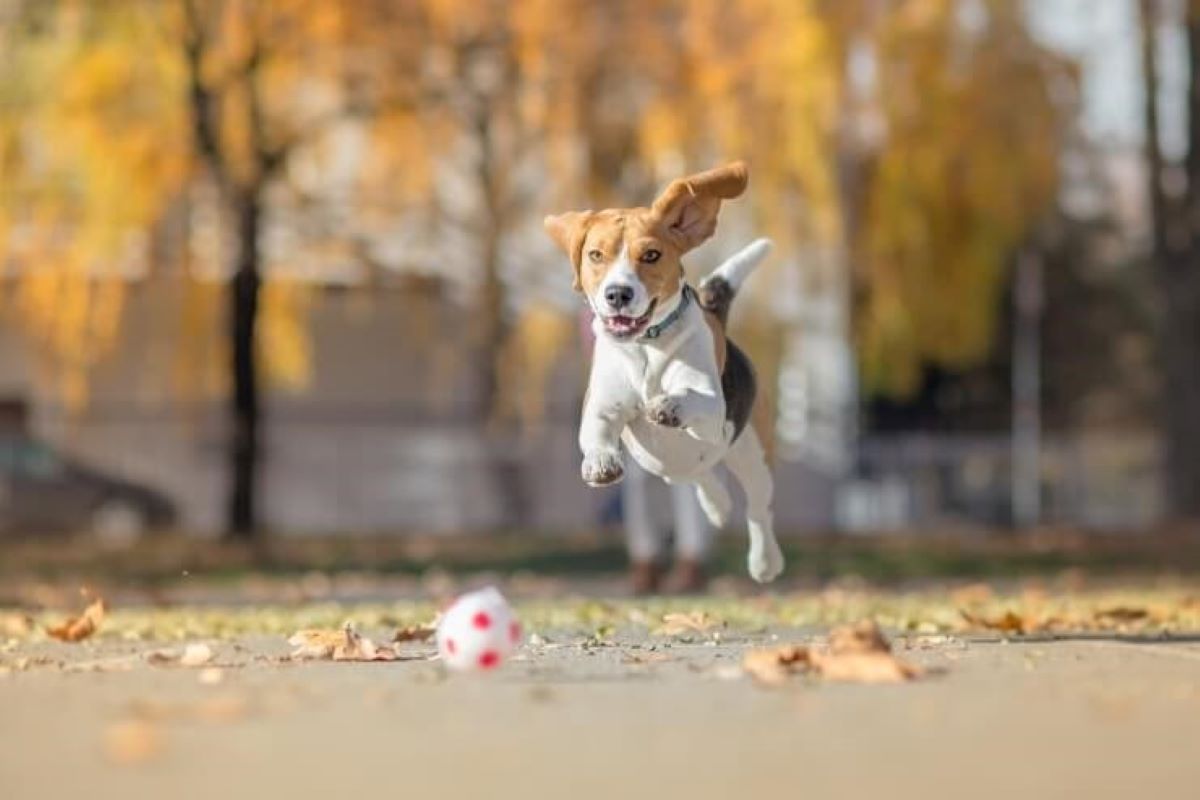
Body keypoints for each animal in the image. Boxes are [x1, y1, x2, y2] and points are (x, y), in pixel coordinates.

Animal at [547, 163, 787, 585]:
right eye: (595, 255)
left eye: (651, 255)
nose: (617, 294)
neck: (645, 345)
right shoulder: (602, 407)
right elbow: (596, 433)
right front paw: (600, 463)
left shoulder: (712, 408)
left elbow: (690, 398)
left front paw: (668, 405)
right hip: (668, 466)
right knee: (697, 475)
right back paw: (717, 504)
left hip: (751, 452)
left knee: (758, 509)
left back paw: (764, 561)